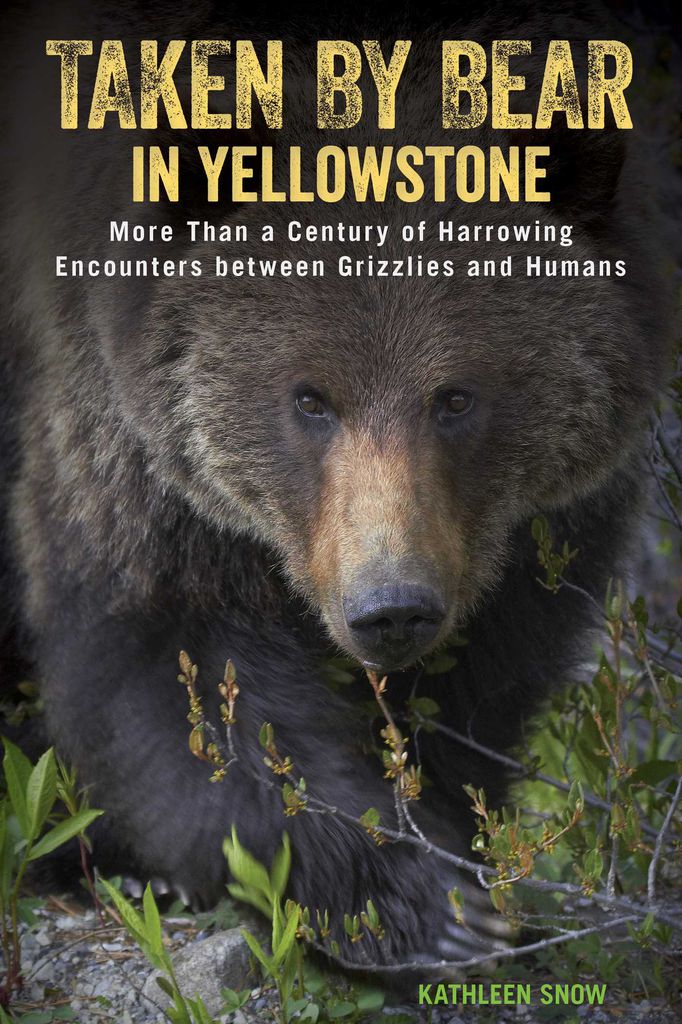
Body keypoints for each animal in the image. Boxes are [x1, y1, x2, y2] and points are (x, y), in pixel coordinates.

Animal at [0, 0, 674, 965]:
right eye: (310, 398)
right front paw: (415, 903)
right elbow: (179, 672)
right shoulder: (130, 446)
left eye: (455, 396)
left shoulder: (529, 532)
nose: (389, 607)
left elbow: (487, 678)